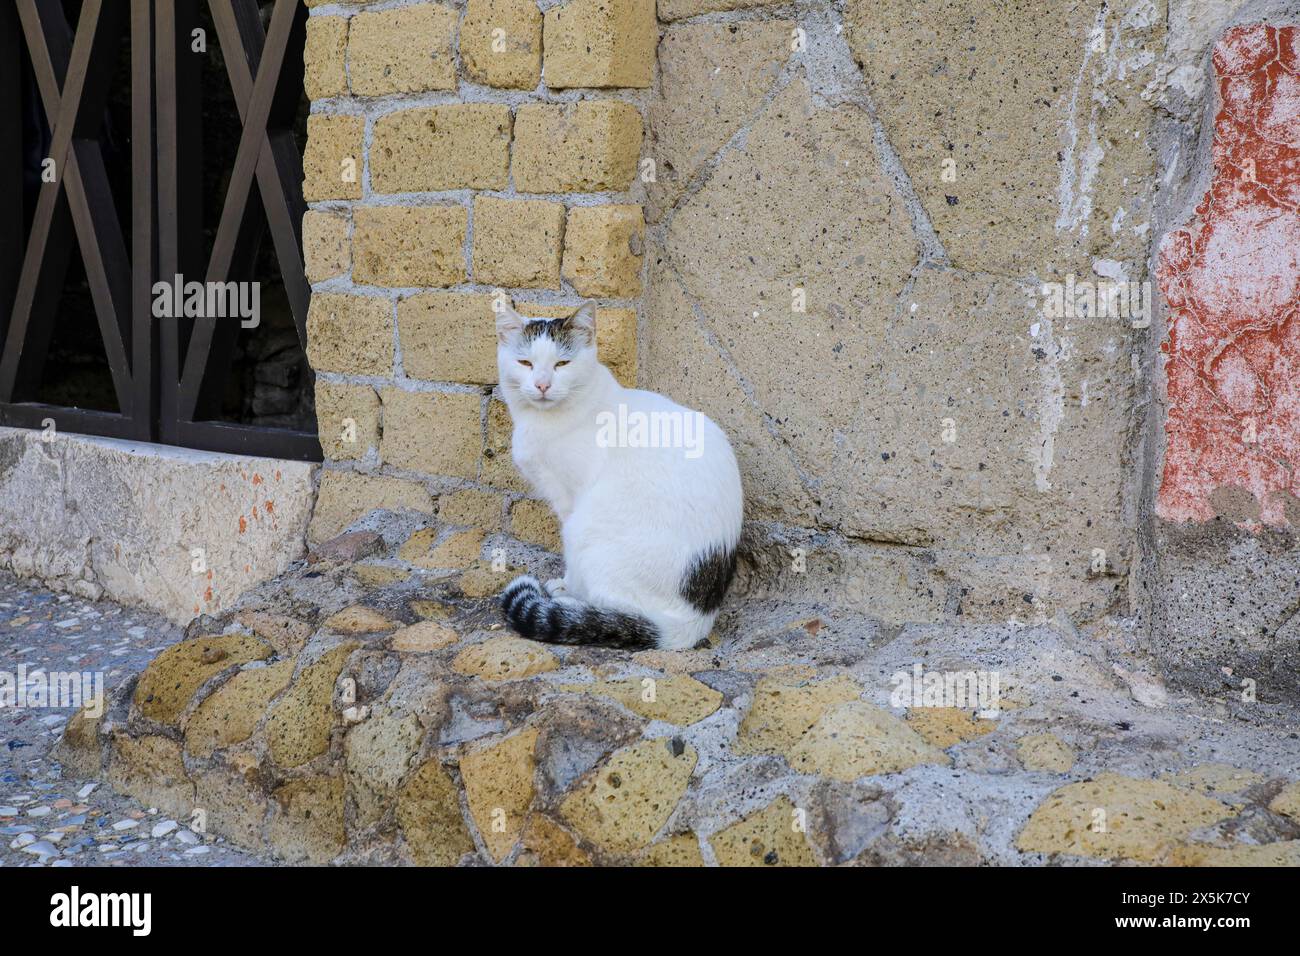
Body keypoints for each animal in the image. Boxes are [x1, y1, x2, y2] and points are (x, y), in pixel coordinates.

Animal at [493, 304, 743, 650]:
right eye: (525, 363)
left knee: (620, 608)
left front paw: (566, 586)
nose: (542, 385)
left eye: (562, 364)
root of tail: (695, 620)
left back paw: (573, 605)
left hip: (585, 528)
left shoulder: (569, 497)